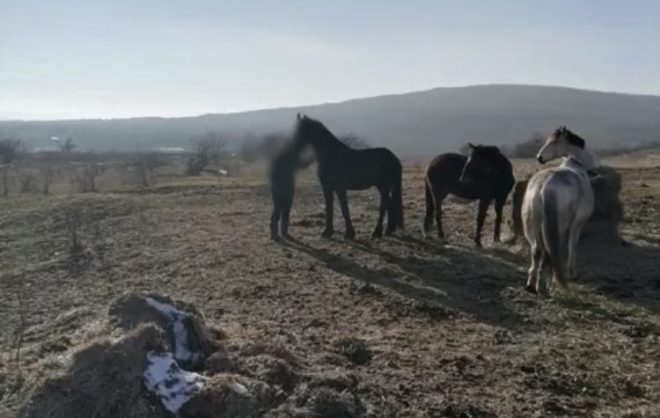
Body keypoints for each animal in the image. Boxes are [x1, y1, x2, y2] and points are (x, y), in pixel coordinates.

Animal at [522, 127, 600, 295]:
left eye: (554, 141)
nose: (539, 157)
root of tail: (543, 187)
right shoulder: (576, 225)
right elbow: (572, 246)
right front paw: (572, 274)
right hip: (558, 228)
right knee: (548, 252)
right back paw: (544, 285)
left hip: (533, 227)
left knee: (536, 250)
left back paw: (531, 284)